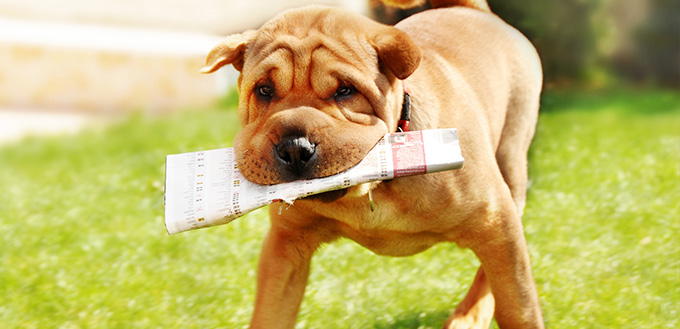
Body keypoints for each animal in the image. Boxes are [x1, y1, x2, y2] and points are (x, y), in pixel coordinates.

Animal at [201, 1, 540, 326]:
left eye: (345, 91)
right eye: (264, 90)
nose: (295, 148)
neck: (372, 187)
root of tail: (472, 10)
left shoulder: (496, 224)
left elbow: (517, 306)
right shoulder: (286, 244)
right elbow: (271, 314)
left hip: (511, 165)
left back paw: (467, 318)